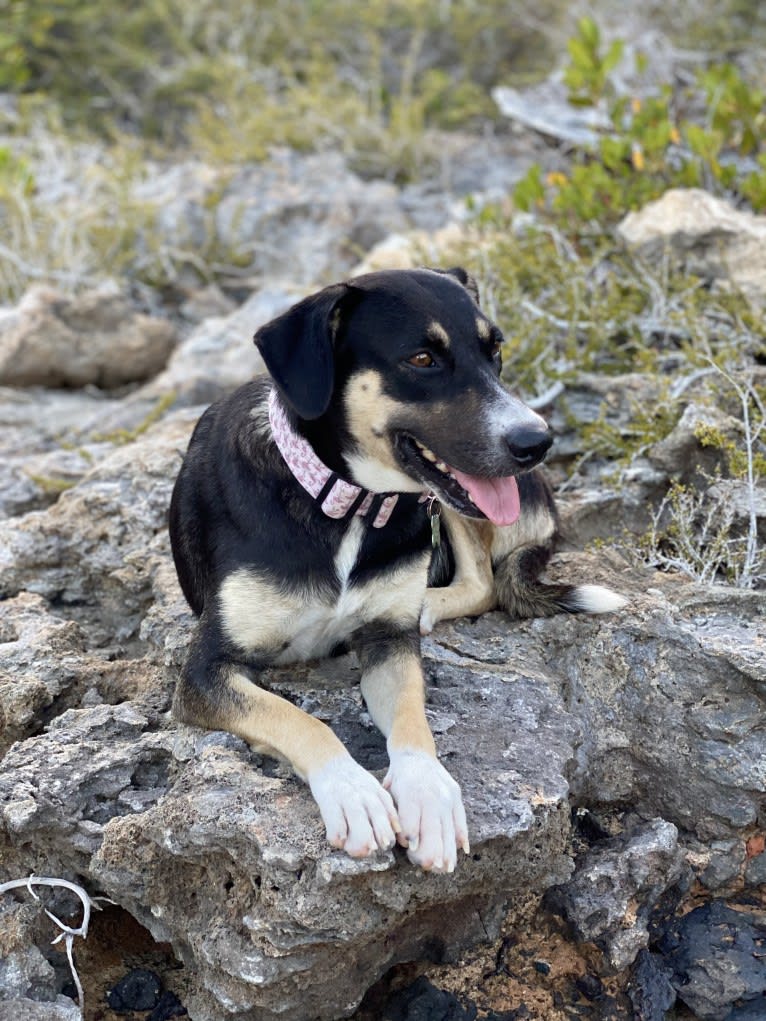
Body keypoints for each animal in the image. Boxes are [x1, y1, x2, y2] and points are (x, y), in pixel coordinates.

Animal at [167, 267, 625, 873]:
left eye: (495, 350)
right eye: (422, 359)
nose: (538, 441)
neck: (343, 502)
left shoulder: (389, 640)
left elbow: (412, 718)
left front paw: (429, 794)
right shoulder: (205, 670)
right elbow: (298, 719)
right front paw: (352, 791)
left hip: (443, 506)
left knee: (482, 582)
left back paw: (431, 603)